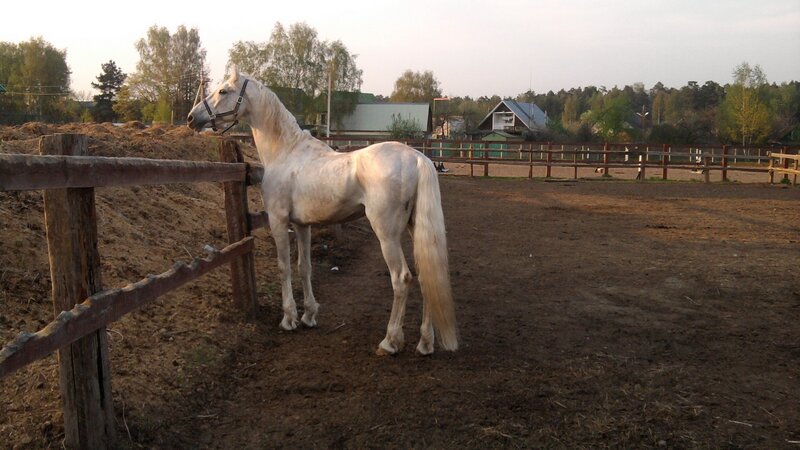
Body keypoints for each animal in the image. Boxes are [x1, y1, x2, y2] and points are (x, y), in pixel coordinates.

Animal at [187, 67, 457, 355]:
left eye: (223, 91)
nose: (192, 118)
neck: (286, 152)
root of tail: (418, 158)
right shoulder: (302, 225)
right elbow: (304, 267)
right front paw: (309, 315)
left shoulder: (278, 221)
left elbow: (284, 266)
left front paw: (289, 318)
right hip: (415, 228)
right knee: (426, 278)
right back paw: (425, 343)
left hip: (387, 234)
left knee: (402, 279)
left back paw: (390, 341)